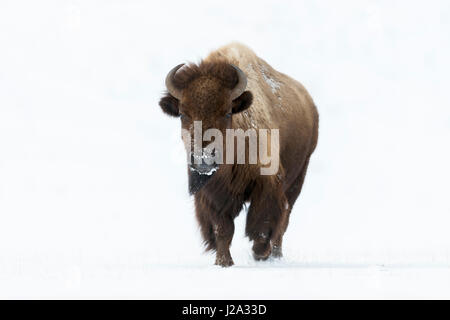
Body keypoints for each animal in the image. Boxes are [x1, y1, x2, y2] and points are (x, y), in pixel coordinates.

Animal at [160, 43, 318, 268]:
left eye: (227, 112)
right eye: (182, 114)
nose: (203, 158)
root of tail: (310, 105)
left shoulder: (267, 185)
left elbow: (262, 224)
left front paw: (260, 253)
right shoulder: (212, 195)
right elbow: (223, 229)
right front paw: (223, 262)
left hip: (298, 177)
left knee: (284, 219)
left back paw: (275, 255)